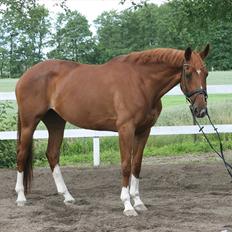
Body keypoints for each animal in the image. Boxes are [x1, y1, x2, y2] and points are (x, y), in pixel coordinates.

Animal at [15, 44, 209, 216]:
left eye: (206, 73)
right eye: (188, 72)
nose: (200, 110)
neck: (141, 82)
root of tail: (25, 75)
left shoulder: (143, 131)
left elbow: (136, 165)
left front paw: (138, 202)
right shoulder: (126, 130)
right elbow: (126, 165)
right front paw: (128, 206)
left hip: (56, 122)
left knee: (52, 154)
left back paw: (67, 197)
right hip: (29, 123)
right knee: (22, 154)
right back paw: (21, 197)